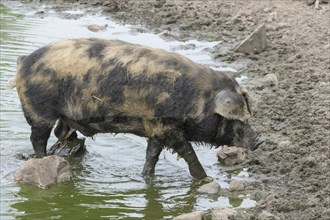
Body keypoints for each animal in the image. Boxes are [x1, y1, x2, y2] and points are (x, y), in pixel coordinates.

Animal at [10, 38, 262, 180]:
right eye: (237, 119)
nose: (259, 140)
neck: (198, 99)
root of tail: (24, 61)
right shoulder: (166, 126)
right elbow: (188, 152)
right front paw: (205, 179)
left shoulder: (154, 127)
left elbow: (152, 154)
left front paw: (146, 177)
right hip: (38, 111)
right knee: (38, 138)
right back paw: (42, 158)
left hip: (63, 116)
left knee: (60, 132)